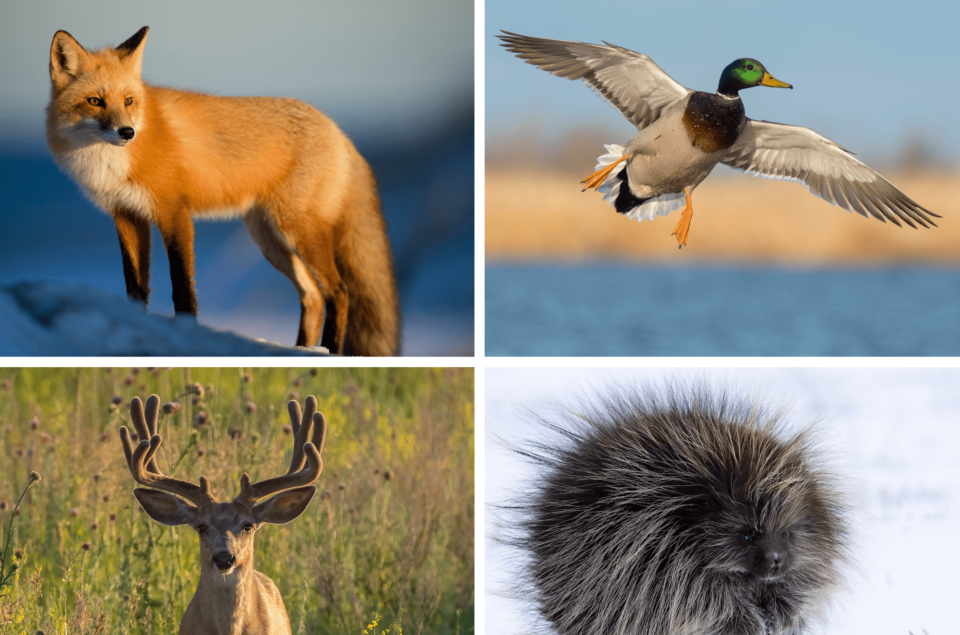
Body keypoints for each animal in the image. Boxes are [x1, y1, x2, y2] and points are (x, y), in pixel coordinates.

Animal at [46, 26, 400, 356]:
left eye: (128, 101)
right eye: (95, 101)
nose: (127, 132)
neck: (109, 163)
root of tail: (338, 131)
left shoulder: (174, 213)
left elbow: (182, 288)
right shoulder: (126, 215)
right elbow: (135, 287)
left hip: (297, 230)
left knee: (339, 291)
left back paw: (329, 350)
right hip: (269, 239)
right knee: (312, 296)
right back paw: (303, 349)